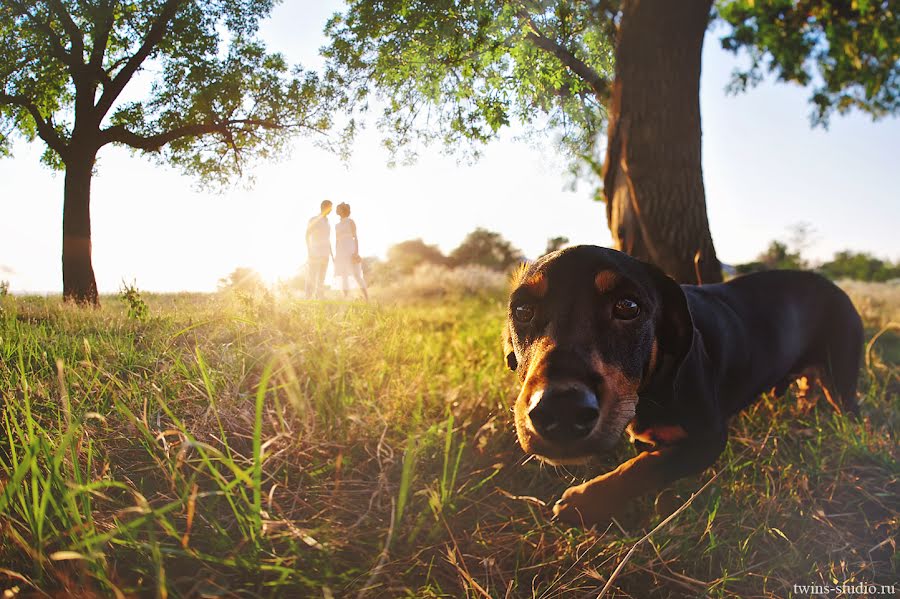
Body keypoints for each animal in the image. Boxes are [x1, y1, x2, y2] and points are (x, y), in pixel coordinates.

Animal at [502, 246, 860, 528]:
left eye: (628, 307)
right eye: (522, 310)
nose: (561, 410)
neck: (652, 388)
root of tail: (836, 287)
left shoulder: (709, 440)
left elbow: (642, 469)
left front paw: (583, 502)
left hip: (842, 380)